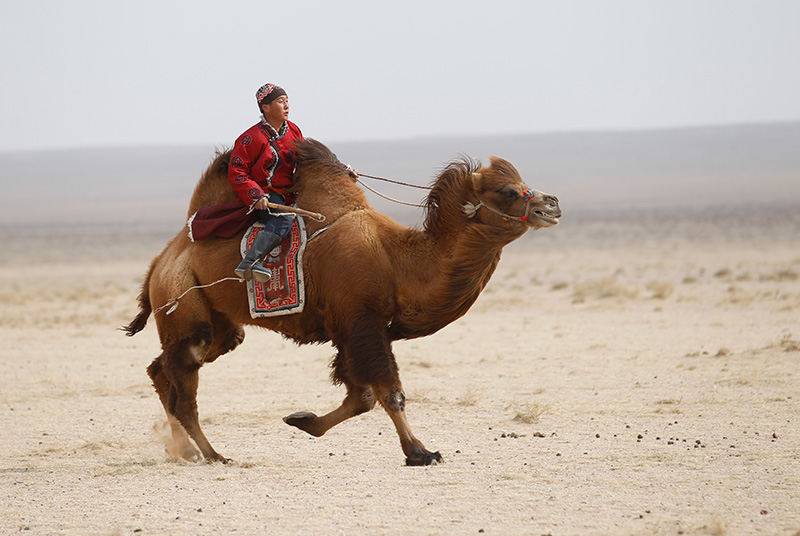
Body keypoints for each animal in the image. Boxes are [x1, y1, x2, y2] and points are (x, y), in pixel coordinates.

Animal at [125, 139, 564, 464]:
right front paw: (420, 452)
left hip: (221, 324)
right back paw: (214, 454)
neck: (397, 260)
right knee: (183, 384)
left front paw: (301, 420)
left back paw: (184, 451)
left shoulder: (351, 331)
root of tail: (162, 259)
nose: (552, 204)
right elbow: (388, 391)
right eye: (507, 191)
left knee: (162, 369)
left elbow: (361, 397)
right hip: (185, 306)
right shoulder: (361, 321)